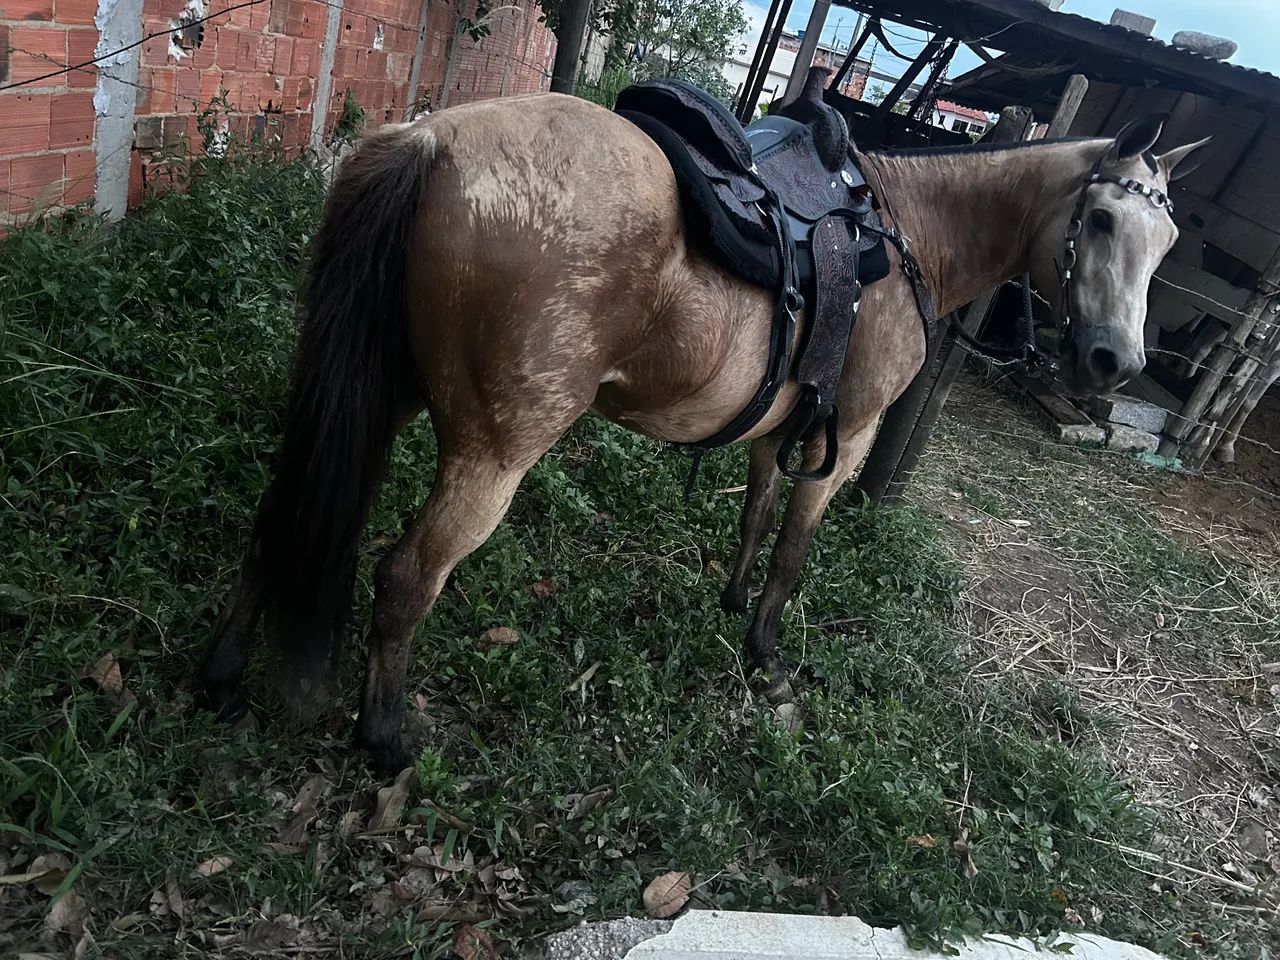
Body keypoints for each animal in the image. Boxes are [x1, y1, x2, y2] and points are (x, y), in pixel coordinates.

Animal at [195, 92, 1210, 773]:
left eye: (1166, 245)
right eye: (1102, 218)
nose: (1113, 362)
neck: (907, 235)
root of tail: (433, 139)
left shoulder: (779, 423)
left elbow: (754, 513)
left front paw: (728, 603)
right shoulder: (846, 436)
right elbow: (795, 548)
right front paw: (767, 657)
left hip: (381, 389)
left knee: (278, 522)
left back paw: (221, 674)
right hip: (493, 451)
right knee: (406, 577)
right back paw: (386, 741)